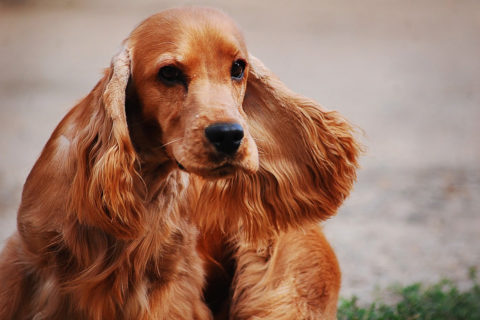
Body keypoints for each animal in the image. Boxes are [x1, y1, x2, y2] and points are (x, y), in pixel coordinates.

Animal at [0, 7, 360, 320]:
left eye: (238, 68)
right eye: (169, 73)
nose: (229, 135)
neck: (144, 183)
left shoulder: (169, 289)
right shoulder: (25, 263)